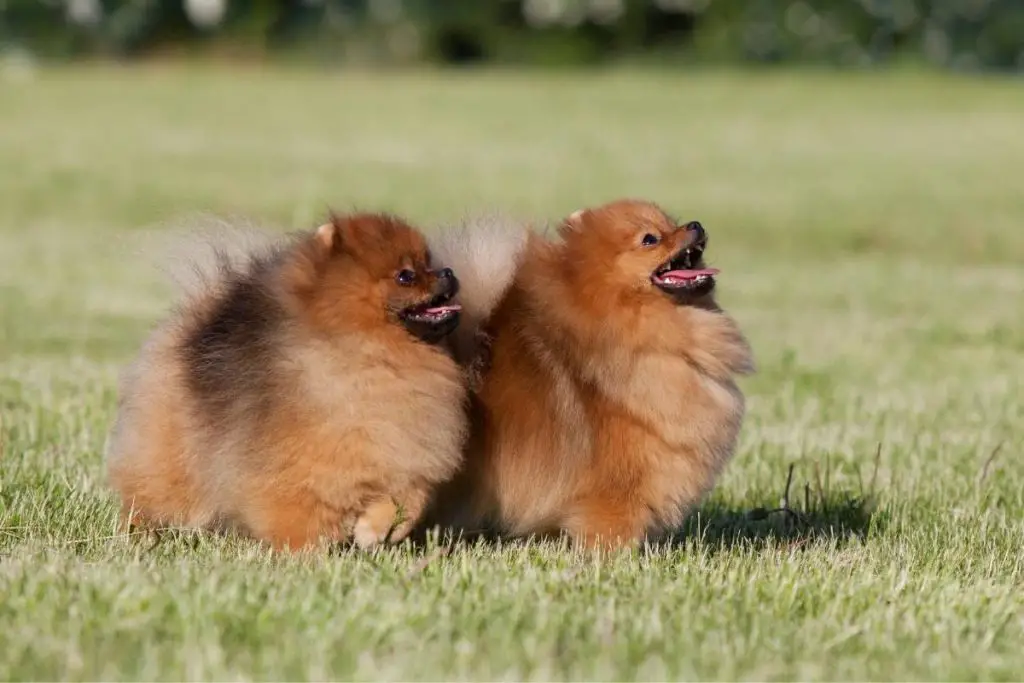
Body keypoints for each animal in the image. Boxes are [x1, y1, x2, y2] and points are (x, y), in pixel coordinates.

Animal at [104, 211, 468, 548]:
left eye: (430, 263)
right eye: (406, 275)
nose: (448, 273)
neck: (372, 359)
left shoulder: (406, 457)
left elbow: (408, 499)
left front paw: (375, 530)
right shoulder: (295, 471)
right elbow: (297, 516)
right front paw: (308, 557)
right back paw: (138, 533)